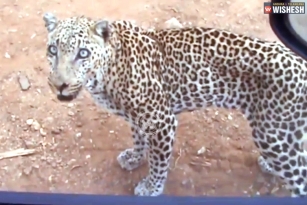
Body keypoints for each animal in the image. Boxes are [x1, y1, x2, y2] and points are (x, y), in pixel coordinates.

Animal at [42, 12, 307, 197]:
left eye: (83, 53)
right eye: (53, 49)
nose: (60, 85)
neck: (107, 72)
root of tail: (300, 64)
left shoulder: (162, 122)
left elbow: (159, 163)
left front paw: (152, 188)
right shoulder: (138, 117)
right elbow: (138, 138)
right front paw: (134, 158)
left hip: (272, 135)